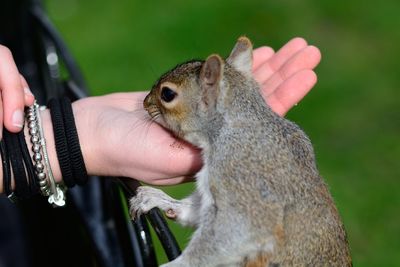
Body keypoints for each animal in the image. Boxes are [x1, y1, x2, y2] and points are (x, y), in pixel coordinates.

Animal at [130, 36, 352, 267]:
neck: (237, 123)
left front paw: (177, 264)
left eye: (167, 94)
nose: (145, 102)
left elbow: (238, 231)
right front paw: (156, 199)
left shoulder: (240, 176)